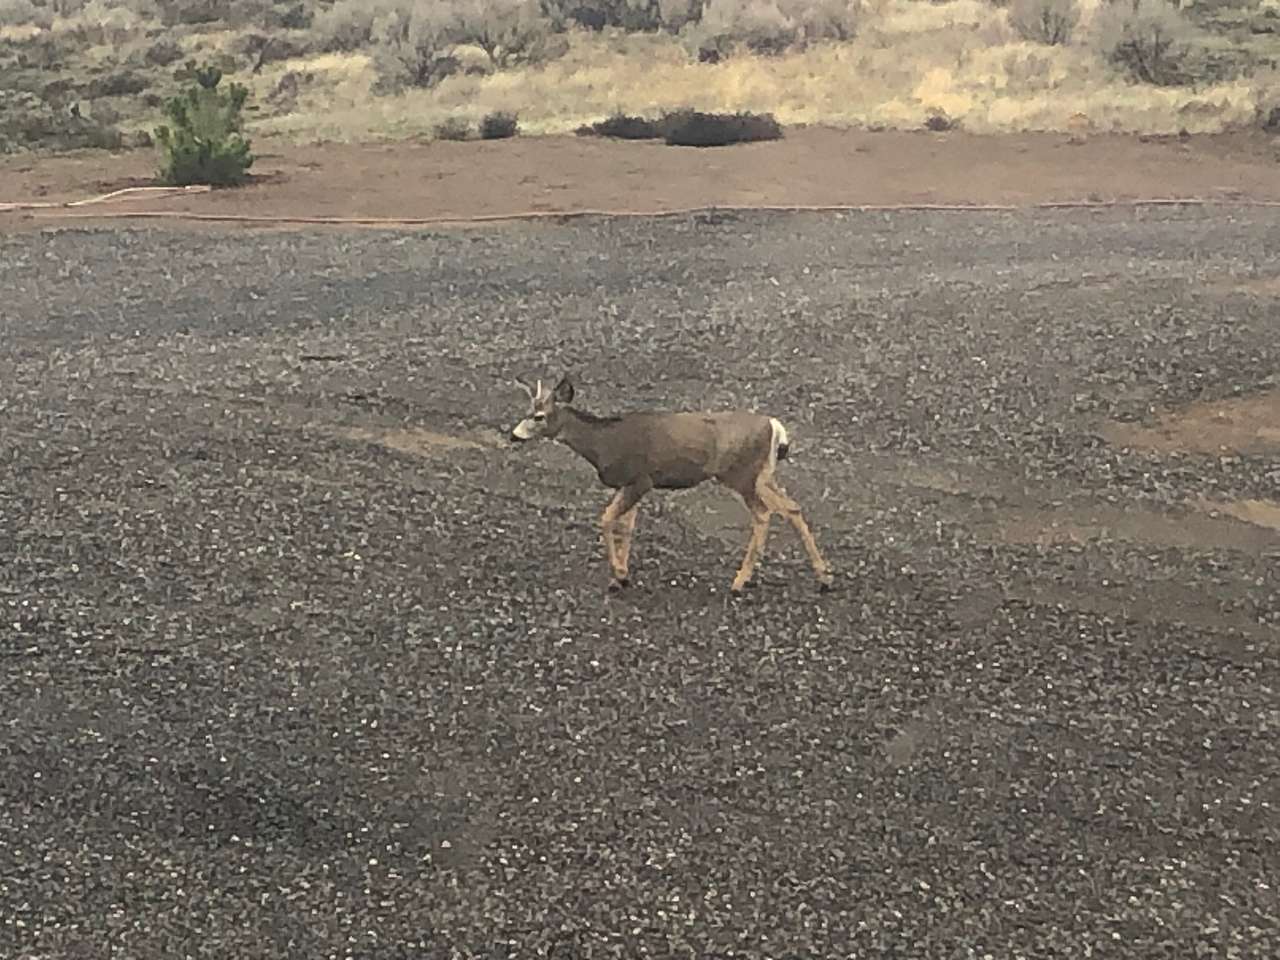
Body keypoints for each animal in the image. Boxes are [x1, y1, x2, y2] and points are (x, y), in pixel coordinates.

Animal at [508, 374, 835, 594]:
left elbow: (607, 519)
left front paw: (619, 573)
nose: (513, 435)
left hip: (741, 475)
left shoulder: (641, 479)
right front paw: (620, 576)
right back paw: (823, 577)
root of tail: (774, 426)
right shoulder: (631, 484)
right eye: (527, 412)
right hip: (762, 475)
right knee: (791, 508)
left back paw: (740, 582)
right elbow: (626, 526)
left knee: (764, 514)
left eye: (539, 416)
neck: (602, 443)